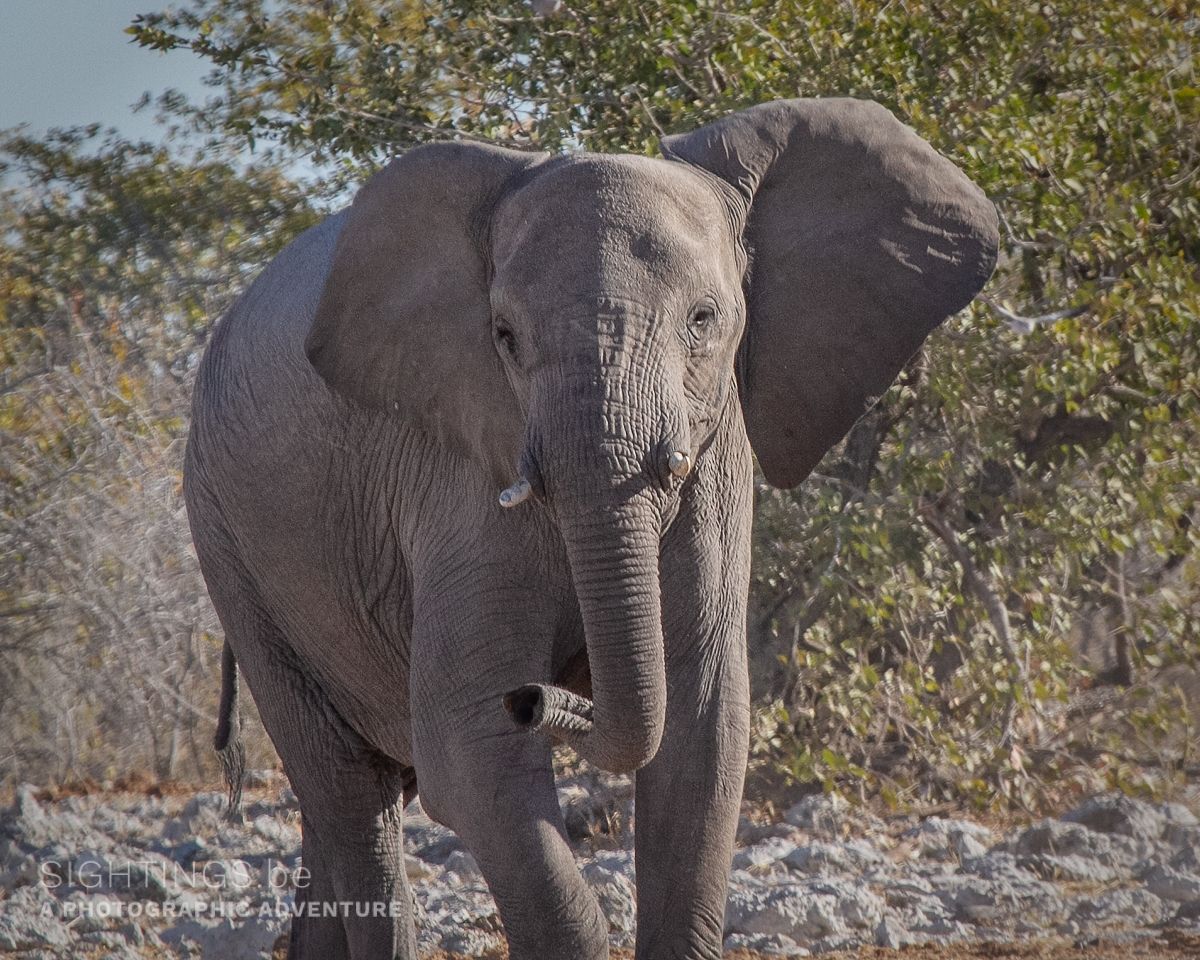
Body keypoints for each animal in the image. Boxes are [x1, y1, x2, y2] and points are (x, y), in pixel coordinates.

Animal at [184, 98, 997, 959]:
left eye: (704, 320)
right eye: (504, 335)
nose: (534, 698)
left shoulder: (715, 465)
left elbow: (703, 734)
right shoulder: (454, 474)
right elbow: (469, 750)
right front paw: (503, 717)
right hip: (230, 549)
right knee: (351, 798)